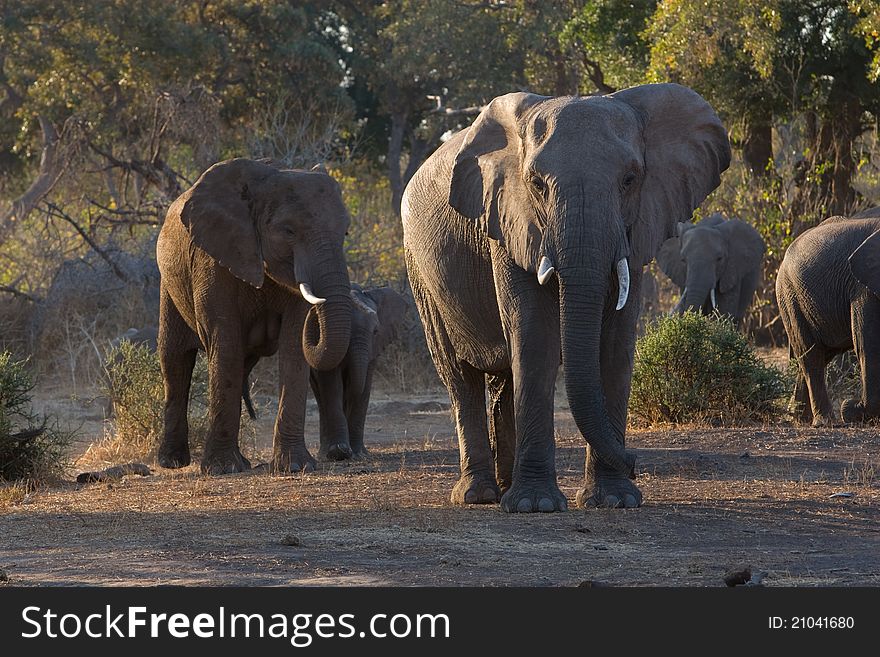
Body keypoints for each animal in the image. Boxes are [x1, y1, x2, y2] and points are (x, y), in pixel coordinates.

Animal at [156, 156, 352, 474]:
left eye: (345, 232)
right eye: (288, 231)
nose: (316, 317)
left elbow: (293, 347)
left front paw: (295, 466)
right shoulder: (212, 258)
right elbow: (224, 342)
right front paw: (222, 469)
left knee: (240, 365)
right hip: (168, 283)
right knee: (175, 361)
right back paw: (172, 461)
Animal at [310, 284, 410, 458]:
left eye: (375, 331)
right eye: (346, 330)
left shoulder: (373, 349)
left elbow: (365, 386)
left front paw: (358, 454)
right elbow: (332, 384)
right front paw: (339, 452)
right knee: (321, 398)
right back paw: (326, 454)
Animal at [400, 83, 728, 512]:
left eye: (630, 179)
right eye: (537, 184)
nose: (635, 463)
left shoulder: (636, 228)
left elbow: (615, 341)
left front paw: (615, 499)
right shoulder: (508, 220)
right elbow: (534, 333)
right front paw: (535, 506)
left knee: (503, 377)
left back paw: (505, 485)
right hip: (419, 272)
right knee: (459, 376)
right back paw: (478, 494)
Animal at [776, 206, 880, 426]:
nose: (851, 403)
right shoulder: (862, 288)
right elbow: (868, 345)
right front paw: (851, 410)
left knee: (817, 356)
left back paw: (799, 418)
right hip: (789, 296)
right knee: (811, 356)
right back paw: (825, 421)